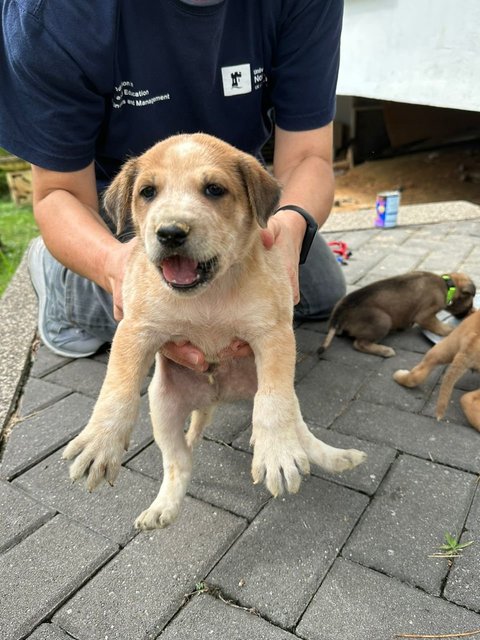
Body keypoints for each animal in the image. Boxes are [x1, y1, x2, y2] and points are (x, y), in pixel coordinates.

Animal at [62, 132, 366, 528]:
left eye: (214, 189)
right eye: (147, 192)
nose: (170, 233)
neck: (208, 295)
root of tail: (215, 398)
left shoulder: (274, 333)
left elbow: (273, 404)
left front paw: (277, 456)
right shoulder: (135, 329)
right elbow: (118, 388)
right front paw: (100, 442)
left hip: (276, 389)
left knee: (292, 421)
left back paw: (323, 455)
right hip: (163, 407)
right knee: (178, 461)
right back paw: (163, 507)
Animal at [316, 270, 474, 358]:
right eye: (470, 302)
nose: (468, 314)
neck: (447, 285)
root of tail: (341, 310)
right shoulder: (425, 315)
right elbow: (438, 326)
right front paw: (450, 330)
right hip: (383, 320)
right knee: (359, 343)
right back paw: (384, 350)